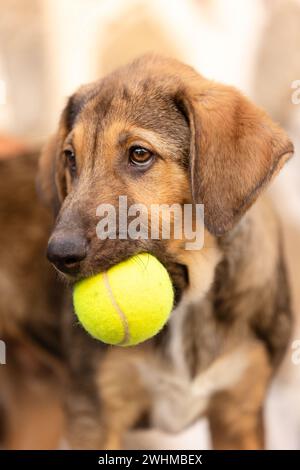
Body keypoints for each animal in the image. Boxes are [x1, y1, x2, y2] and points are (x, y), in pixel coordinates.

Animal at [38, 54, 294, 448]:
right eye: (70, 158)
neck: (190, 291)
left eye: (139, 154)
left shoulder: (240, 411)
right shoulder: (94, 415)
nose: (59, 255)